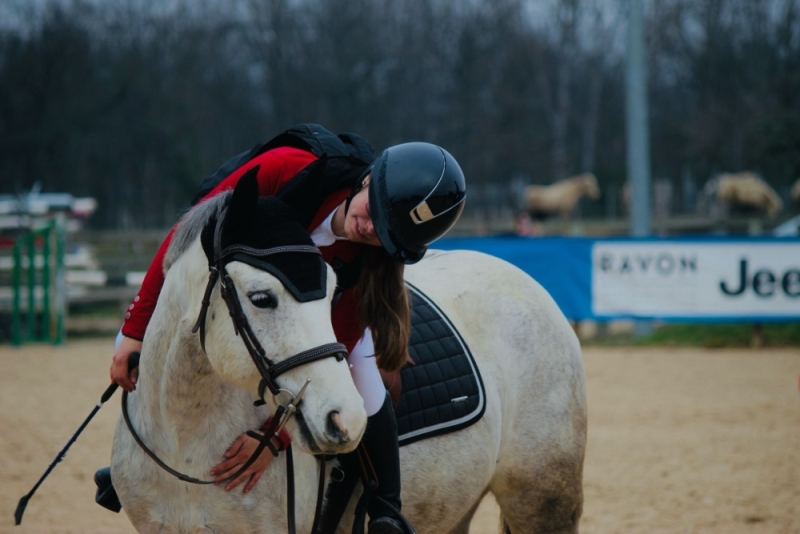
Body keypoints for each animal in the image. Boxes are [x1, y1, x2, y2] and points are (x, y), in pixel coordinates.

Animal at [111, 175, 588, 532]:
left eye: (332, 294)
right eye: (262, 298)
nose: (347, 421)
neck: (185, 441)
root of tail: (521, 277)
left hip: (543, 498)